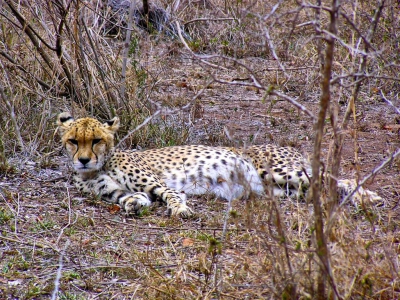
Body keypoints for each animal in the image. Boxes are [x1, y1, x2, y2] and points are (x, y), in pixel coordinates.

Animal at [56, 111, 382, 217]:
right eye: (73, 141)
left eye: (96, 140)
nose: (83, 159)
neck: (100, 166)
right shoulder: (115, 192)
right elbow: (129, 198)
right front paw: (135, 205)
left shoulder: (159, 183)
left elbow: (171, 194)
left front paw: (181, 210)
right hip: (279, 189)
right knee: (324, 188)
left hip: (280, 172)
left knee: (336, 178)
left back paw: (371, 197)